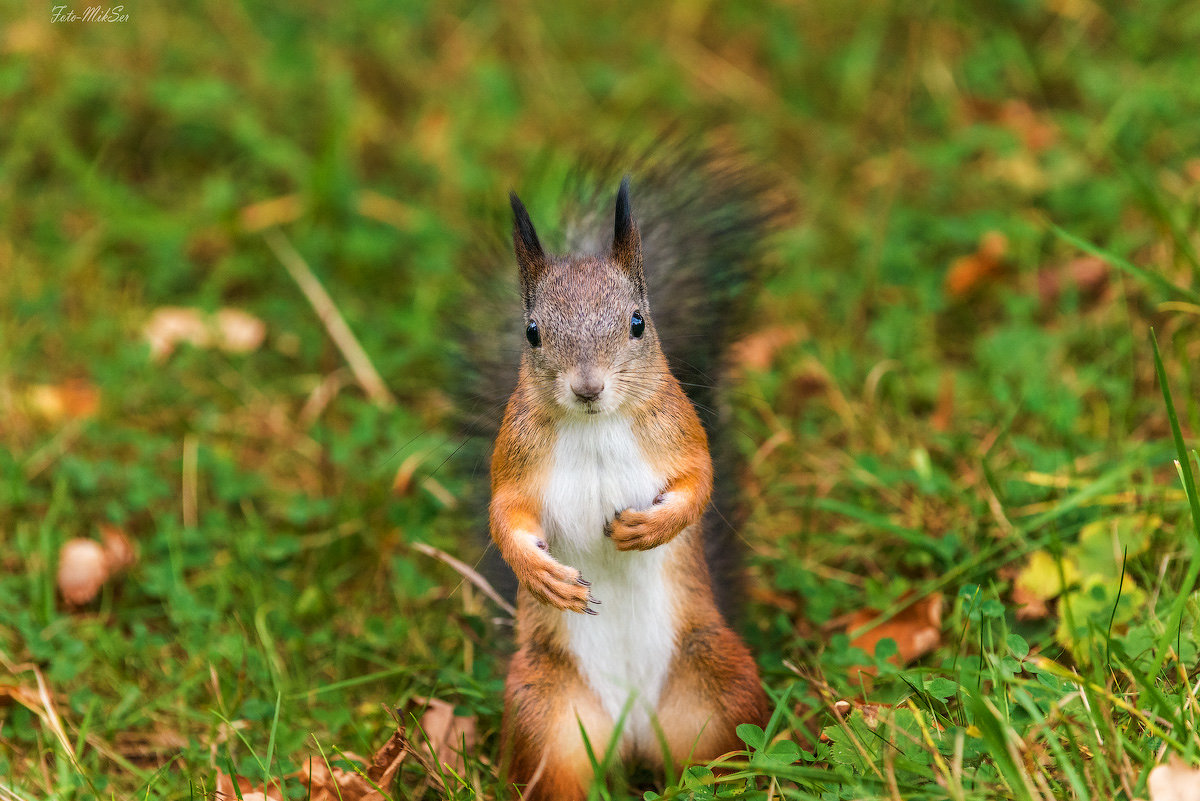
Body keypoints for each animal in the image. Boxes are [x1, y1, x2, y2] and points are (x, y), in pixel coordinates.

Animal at [487, 151, 777, 801]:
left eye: (638, 322)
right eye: (532, 331)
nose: (588, 386)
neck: (594, 427)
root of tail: (638, 730)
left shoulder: (677, 431)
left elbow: (698, 482)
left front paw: (651, 528)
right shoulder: (515, 458)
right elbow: (504, 516)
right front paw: (543, 577)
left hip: (722, 688)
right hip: (546, 715)